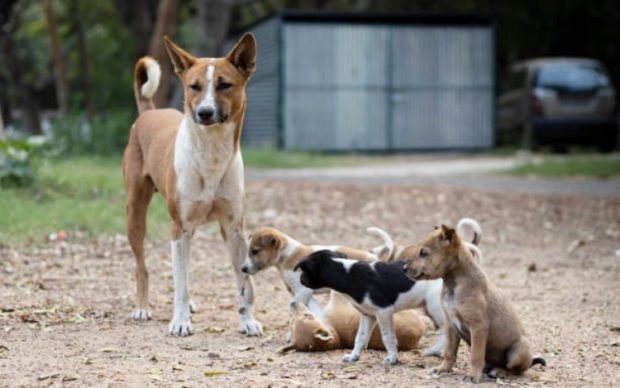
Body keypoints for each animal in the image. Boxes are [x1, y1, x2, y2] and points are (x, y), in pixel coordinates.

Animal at [124, 33, 262, 336]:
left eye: (224, 84)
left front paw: (247, 321)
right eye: (193, 86)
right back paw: (142, 307)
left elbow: (244, 284)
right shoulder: (180, 228)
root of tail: (148, 112)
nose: (205, 112)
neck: (211, 153)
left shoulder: (234, 230)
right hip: (136, 214)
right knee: (142, 267)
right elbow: (181, 284)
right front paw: (180, 321)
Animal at [241, 227, 378, 322]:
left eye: (255, 251)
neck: (289, 256)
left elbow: (294, 312)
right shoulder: (307, 295)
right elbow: (318, 313)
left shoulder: (302, 292)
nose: (242, 269)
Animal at [402, 226, 544, 384]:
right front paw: (443, 369)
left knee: (517, 370)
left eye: (423, 253)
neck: (453, 283)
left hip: (520, 349)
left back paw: (500, 372)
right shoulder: (450, 324)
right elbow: (449, 352)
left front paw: (472, 376)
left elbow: (476, 355)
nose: (403, 267)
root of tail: (530, 361)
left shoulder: (478, 326)